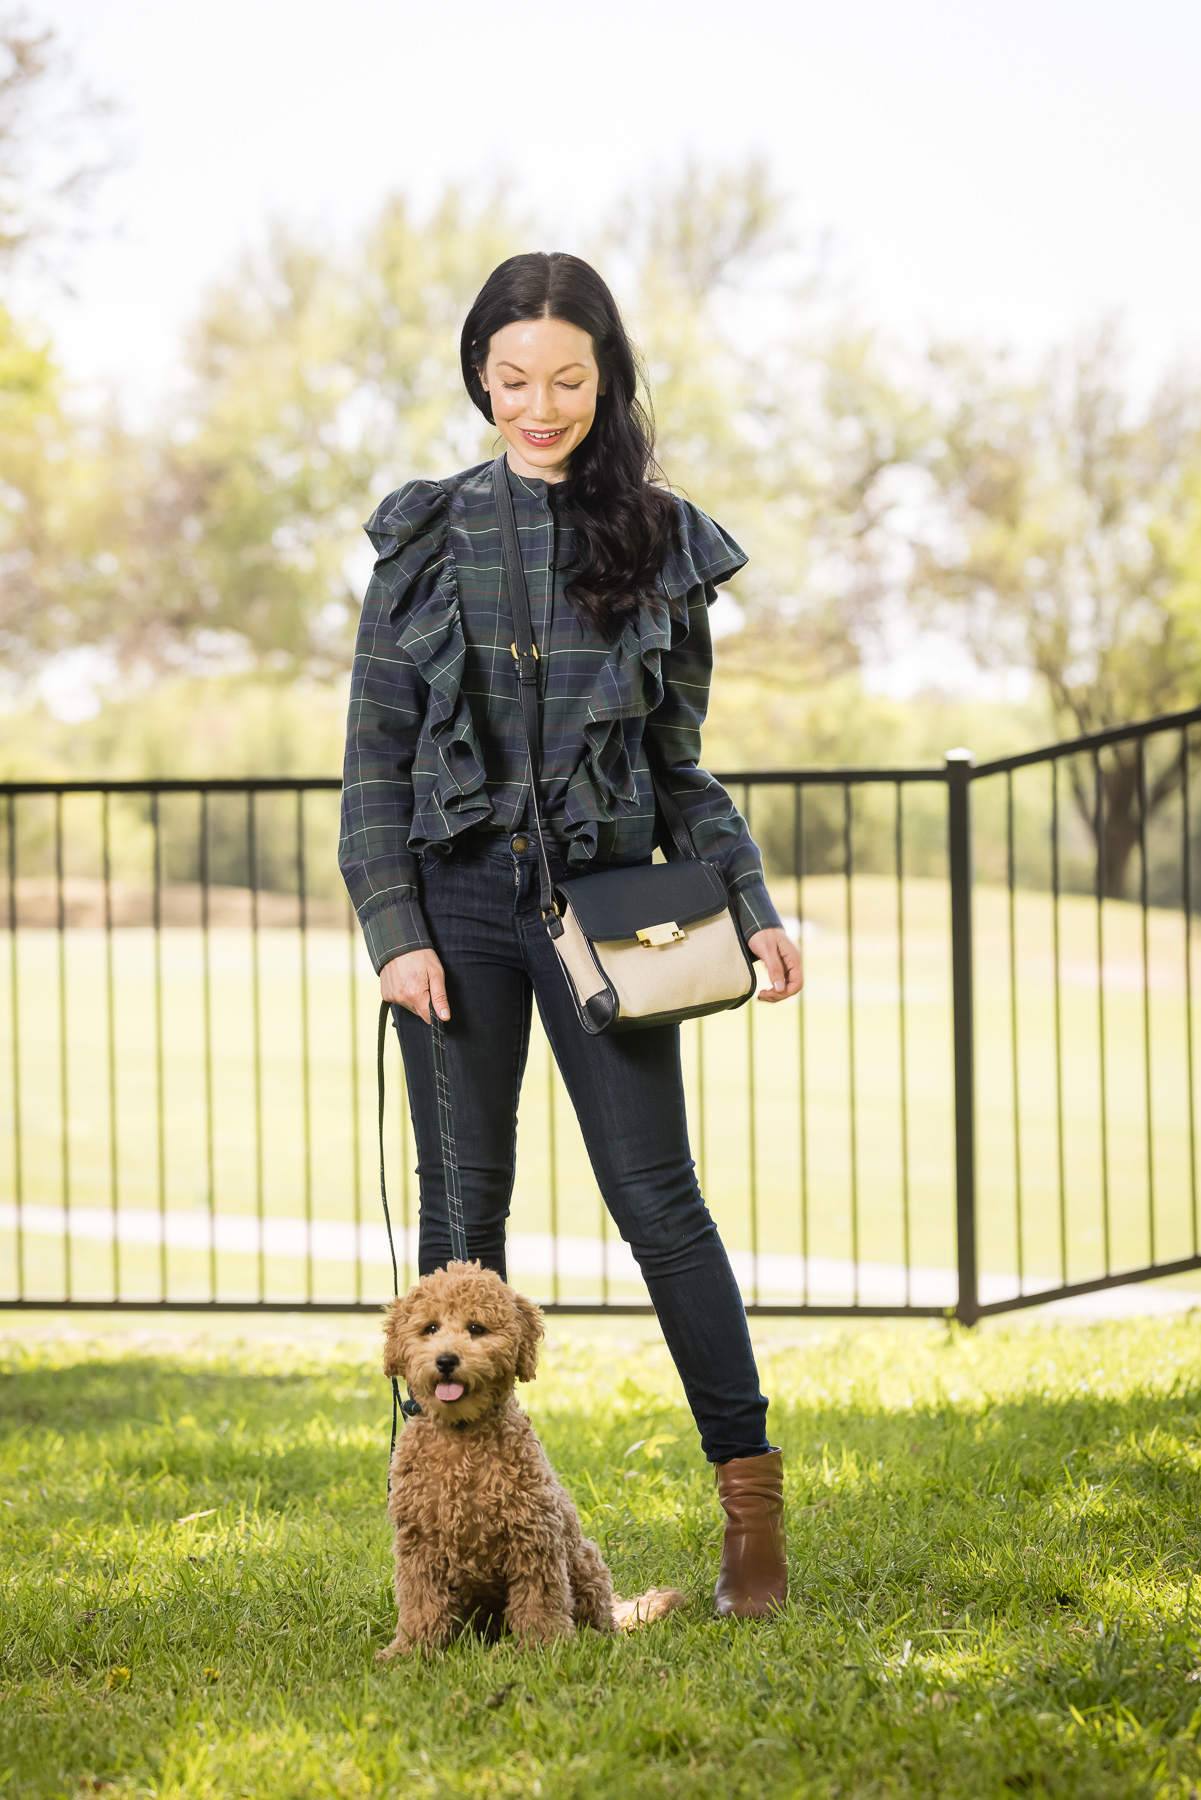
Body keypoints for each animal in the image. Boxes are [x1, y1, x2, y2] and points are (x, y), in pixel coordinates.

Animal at [376, 1260, 619, 1648]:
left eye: (476, 1328)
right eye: (430, 1328)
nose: (446, 1360)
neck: (461, 1433)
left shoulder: (533, 1539)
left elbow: (539, 1602)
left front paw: (541, 1648)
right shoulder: (420, 1546)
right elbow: (421, 1604)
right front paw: (412, 1650)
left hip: (585, 1560)